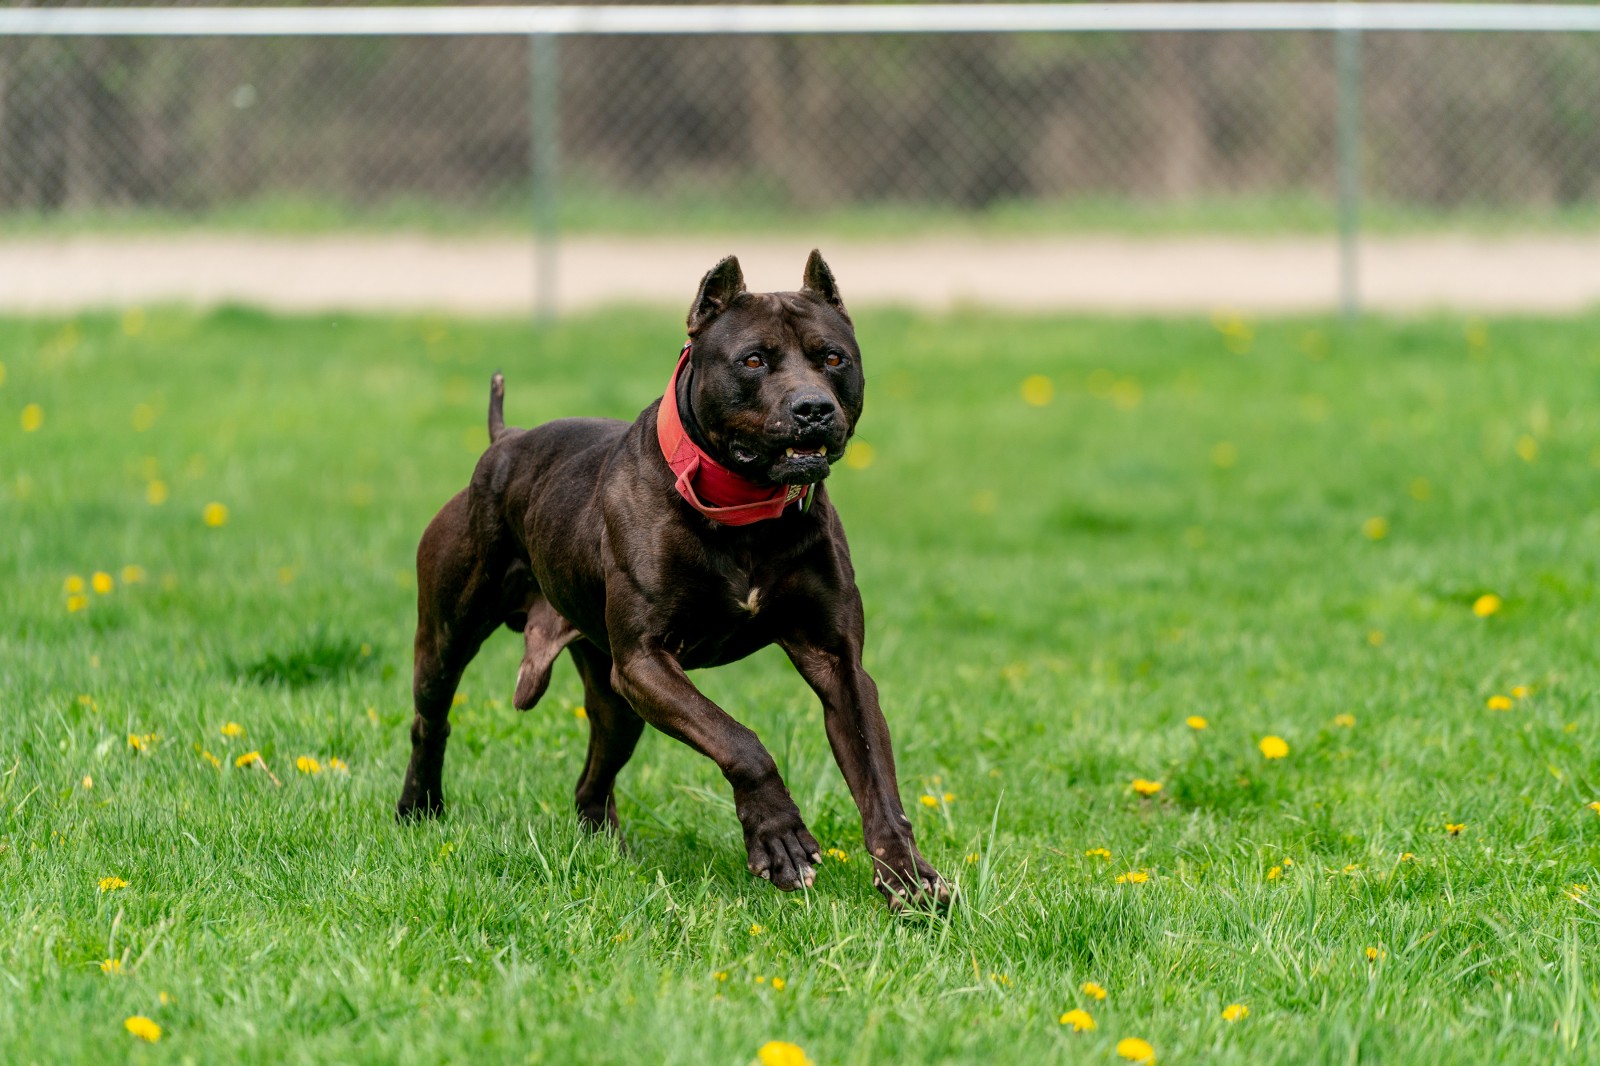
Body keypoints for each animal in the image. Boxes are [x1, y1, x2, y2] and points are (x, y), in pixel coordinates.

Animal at [398, 246, 940, 902]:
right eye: (754, 360)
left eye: (833, 358)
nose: (813, 409)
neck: (744, 510)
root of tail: (505, 439)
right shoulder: (646, 660)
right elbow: (739, 740)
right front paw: (780, 838)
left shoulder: (837, 663)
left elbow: (879, 783)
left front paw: (909, 878)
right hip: (450, 638)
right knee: (431, 721)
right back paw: (418, 810)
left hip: (616, 702)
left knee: (592, 780)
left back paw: (609, 855)